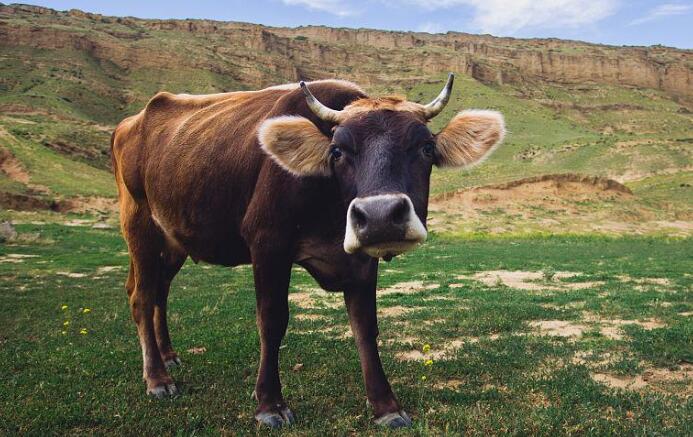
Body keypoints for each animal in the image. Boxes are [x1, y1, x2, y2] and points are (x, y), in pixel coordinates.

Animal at [112, 74, 502, 426]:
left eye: (426, 148)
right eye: (337, 151)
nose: (380, 216)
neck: (327, 209)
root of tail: (132, 121)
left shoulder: (360, 258)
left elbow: (365, 326)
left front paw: (385, 405)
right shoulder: (267, 244)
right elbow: (272, 320)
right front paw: (269, 404)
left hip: (173, 239)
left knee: (160, 291)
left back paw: (169, 356)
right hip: (139, 224)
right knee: (141, 297)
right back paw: (158, 378)